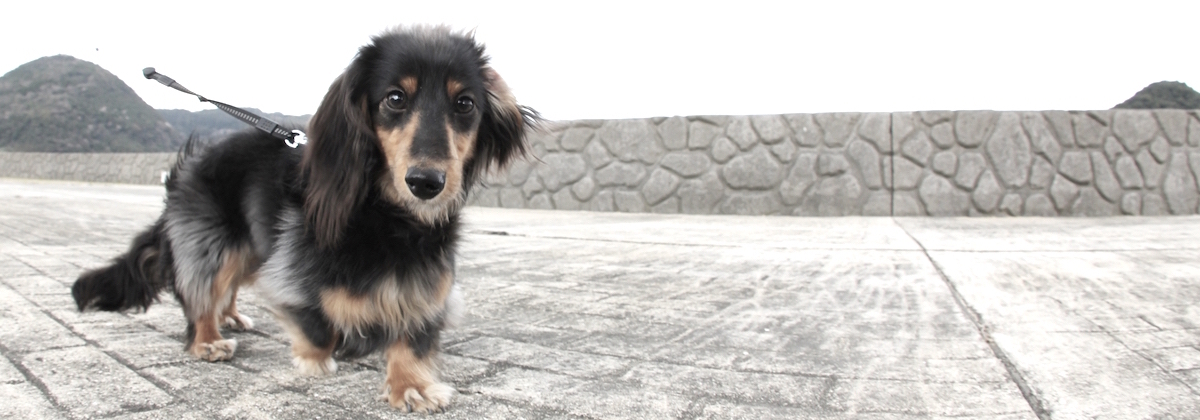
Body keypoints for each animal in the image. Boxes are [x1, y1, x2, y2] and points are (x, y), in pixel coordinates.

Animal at [75, 27, 540, 412]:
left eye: (465, 104)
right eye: (394, 98)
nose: (426, 183)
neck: (387, 216)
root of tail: (189, 163)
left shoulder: (425, 276)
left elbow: (413, 332)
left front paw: (411, 384)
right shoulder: (294, 266)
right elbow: (315, 319)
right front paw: (318, 359)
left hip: (250, 247)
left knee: (228, 287)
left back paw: (230, 317)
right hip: (214, 242)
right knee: (202, 290)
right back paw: (208, 337)